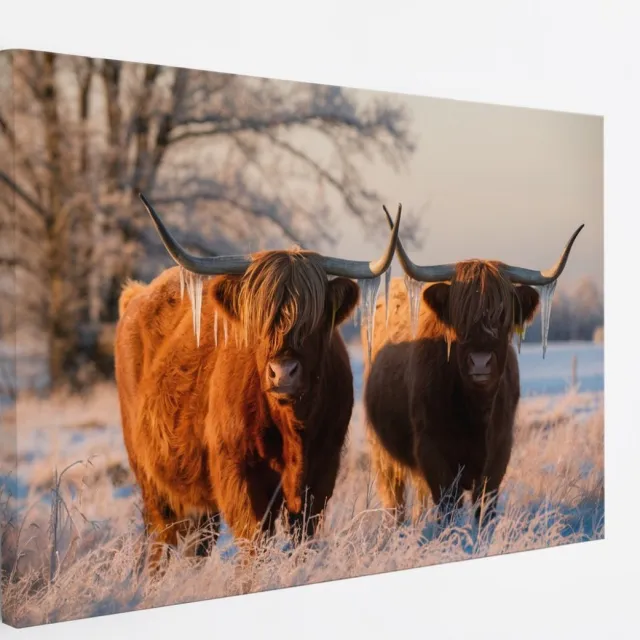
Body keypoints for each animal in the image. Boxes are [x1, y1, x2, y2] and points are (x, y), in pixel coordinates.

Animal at [114, 193, 402, 571]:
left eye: (313, 319)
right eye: (259, 320)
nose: (283, 372)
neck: (293, 427)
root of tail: (136, 295)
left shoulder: (322, 472)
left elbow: (303, 539)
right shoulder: (239, 474)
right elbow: (255, 545)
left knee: (197, 544)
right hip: (150, 479)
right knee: (160, 543)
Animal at [362, 207, 583, 528]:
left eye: (504, 316)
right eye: (459, 316)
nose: (480, 361)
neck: (475, 413)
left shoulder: (498, 456)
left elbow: (484, 512)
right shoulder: (433, 455)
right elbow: (447, 511)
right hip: (383, 455)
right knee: (395, 501)